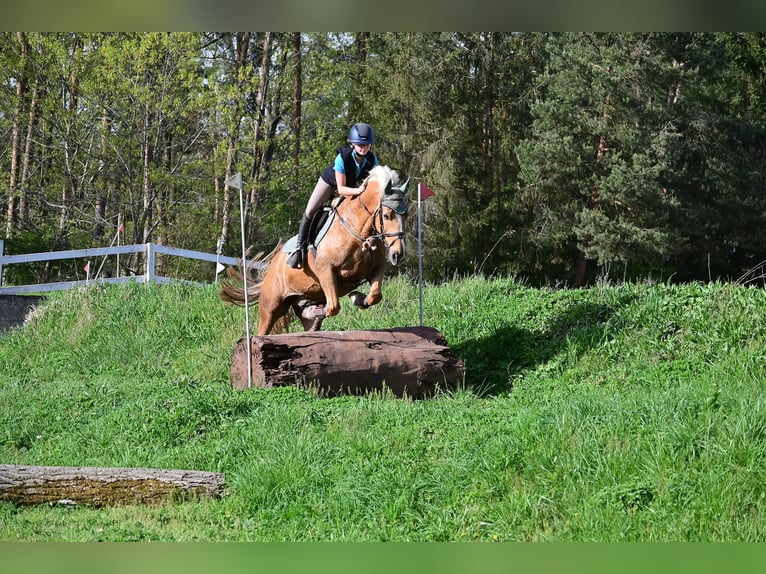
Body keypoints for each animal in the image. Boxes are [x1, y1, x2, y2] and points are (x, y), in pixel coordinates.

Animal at [219, 165, 412, 338]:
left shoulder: (376, 268)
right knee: (262, 330)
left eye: (406, 215)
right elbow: (334, 306)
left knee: (310, 326)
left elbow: (375, 295)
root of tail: (272, 267)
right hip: (271, 306)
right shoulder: (326, 270)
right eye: (386, 215)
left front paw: (357, 297)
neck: (359, 232)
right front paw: (348, 300)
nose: (398, 254)